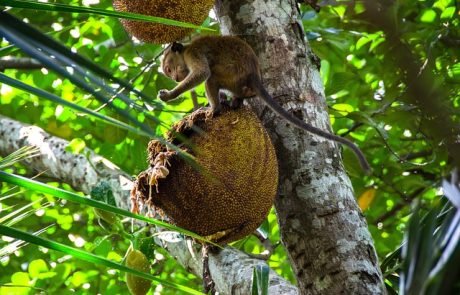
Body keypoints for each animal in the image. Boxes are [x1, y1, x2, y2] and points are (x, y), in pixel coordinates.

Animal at [160, 35, 372, 173]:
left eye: (169, 69)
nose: (175, 77)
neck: (186, 50)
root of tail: (254, 75)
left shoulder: (193, 54)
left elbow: (202, 73)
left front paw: (170, 95)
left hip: (230, 73)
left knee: (211, 78)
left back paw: (216, 108)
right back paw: (233, 101)